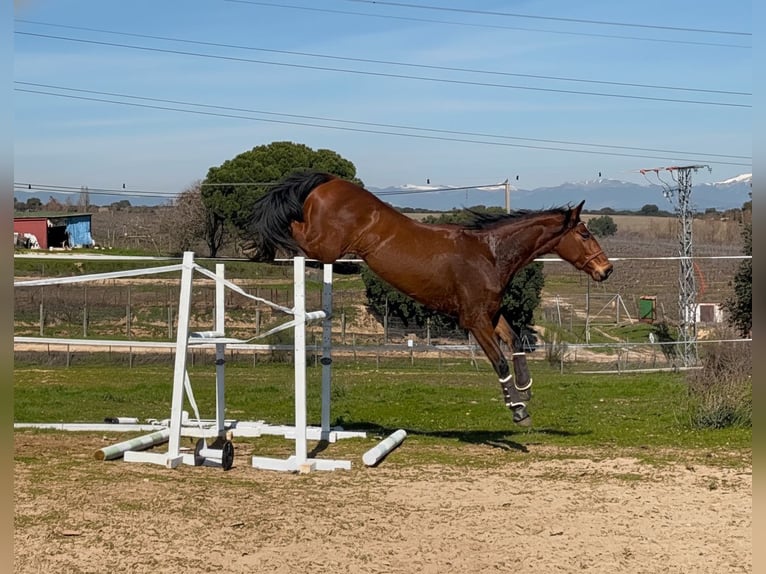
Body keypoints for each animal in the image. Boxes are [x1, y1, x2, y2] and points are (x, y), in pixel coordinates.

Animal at [243, 171, 613, 426]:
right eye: (584, 233)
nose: (606, 270)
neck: (491, 254)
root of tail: (330, 181)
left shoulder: (489, 314)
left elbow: (516, 341)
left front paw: (526, 387)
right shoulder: (474, 321)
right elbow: (500, 361)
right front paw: (518, 409)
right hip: (325, 243)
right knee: (295, 234)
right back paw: (258, 246)